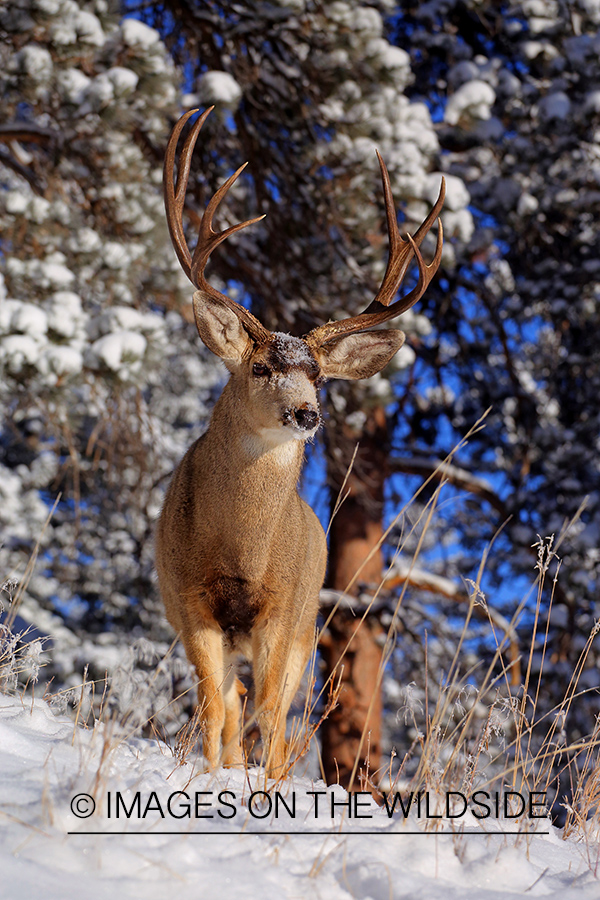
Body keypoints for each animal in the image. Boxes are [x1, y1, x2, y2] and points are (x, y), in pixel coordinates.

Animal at [156, 109, 446, 776]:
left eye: (319, 376)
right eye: (261, 367)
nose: (307, 412)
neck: (240, 552)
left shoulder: (282, 612)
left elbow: (270, 713)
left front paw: (265, 787)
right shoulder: (191, 602)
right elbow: (216, 705)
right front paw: (211, 777)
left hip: (305, 627)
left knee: (277, 711)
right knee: (234, 701)